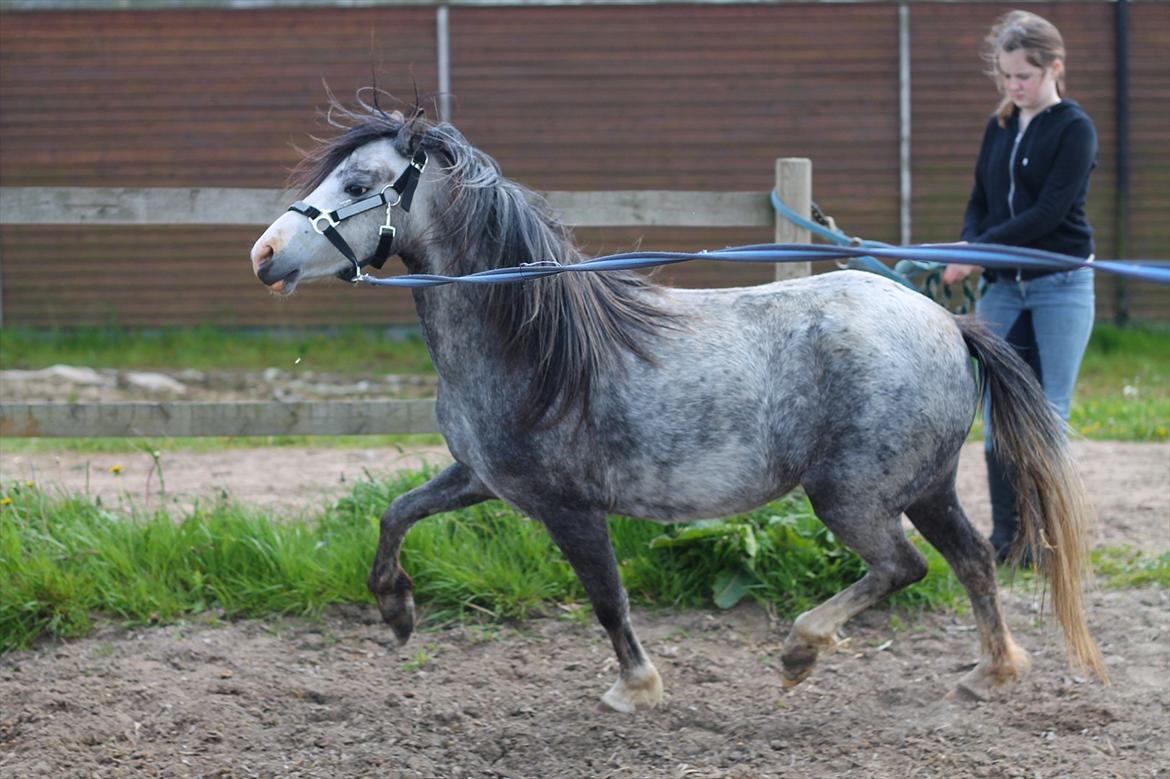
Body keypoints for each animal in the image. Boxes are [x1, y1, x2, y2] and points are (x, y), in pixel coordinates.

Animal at [249, 100, 1104, 706]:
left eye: (359, 185)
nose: (264, 254)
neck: (536, 348)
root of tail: (947, 320)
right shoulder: (483, 479)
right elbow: (395, 512)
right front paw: (396, 611)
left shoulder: (567, 507)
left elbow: (607, 599)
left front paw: (636, 687)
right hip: (926, 486)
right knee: (972, 560)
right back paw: (991, 674)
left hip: (852, 496)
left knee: (904, 565)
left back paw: (800, 651)